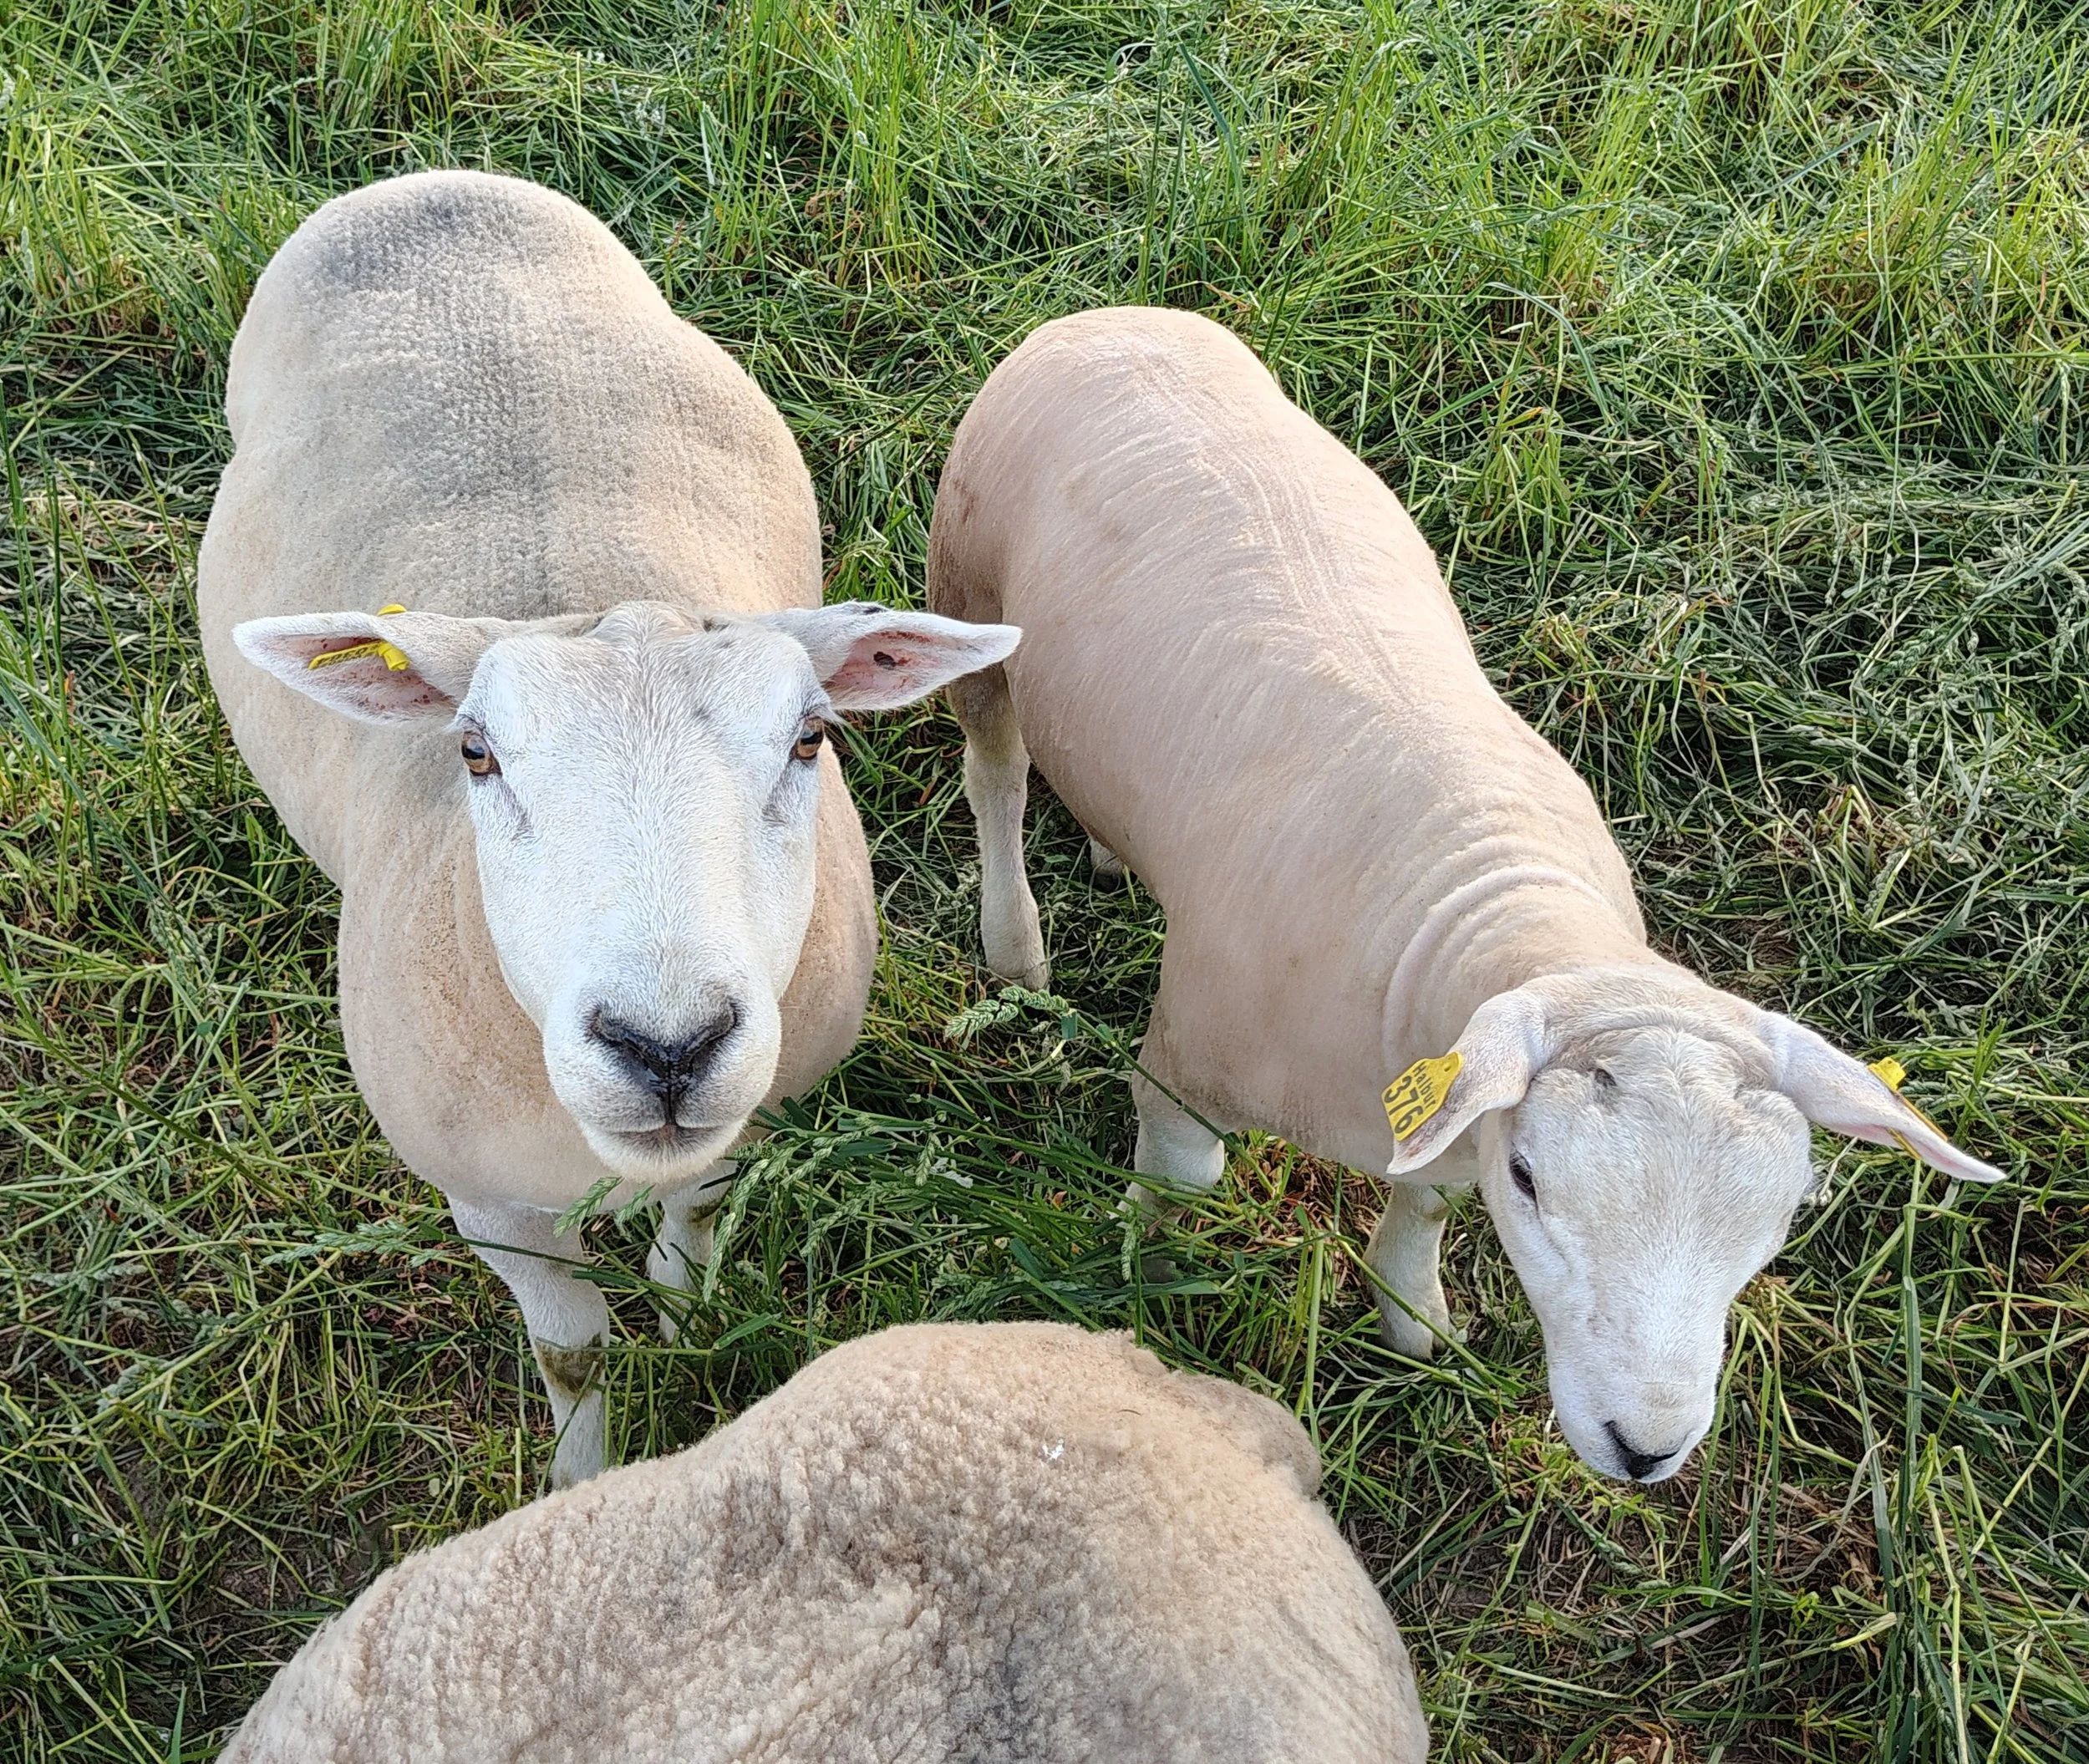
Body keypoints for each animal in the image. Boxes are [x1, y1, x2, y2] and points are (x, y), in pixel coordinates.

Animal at [199, 170, 1018, 1487]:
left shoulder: (754, 1104)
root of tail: (429, 183)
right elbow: (571, 1354)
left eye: (810, 738)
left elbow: (699, 1214)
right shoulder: (489, 1202)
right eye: (475, 752)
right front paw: (579, 1478)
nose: (668, 1046)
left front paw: (683, 1316)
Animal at [927, 307, 2001, 1484]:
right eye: (1530, 1178)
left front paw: (1414, 1320)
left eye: (1775, 1222)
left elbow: (1424, 1207)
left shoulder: (1454, 1107)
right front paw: (1145, 1291)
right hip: (968, 592)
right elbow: (1178, 1190)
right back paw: (1014, 939)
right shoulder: (1183, 1077)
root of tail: (1115, 317)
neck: (1488, 900)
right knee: (997, 773)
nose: (1644, 1449)